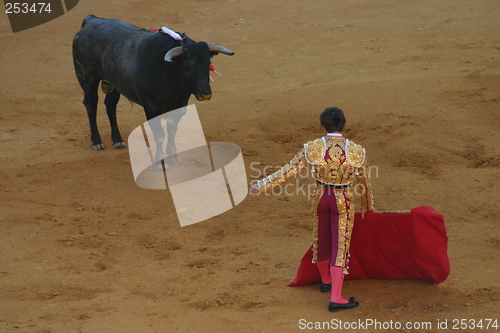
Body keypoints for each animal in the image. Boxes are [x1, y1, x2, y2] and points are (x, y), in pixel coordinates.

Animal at [72, 15, 234, 163]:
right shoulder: (151, 107)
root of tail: (91, 20)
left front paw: (172, 157)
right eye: (188, 65)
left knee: (110, 104)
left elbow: (171, 130)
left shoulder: (179, 105)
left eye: (208, 63)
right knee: (91, 104)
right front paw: (160, 160)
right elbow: (160, 134)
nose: (205, 94)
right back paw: (97, 142)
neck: (169, 71)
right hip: (88, 78)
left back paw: (117, 140)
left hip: (114, 82)